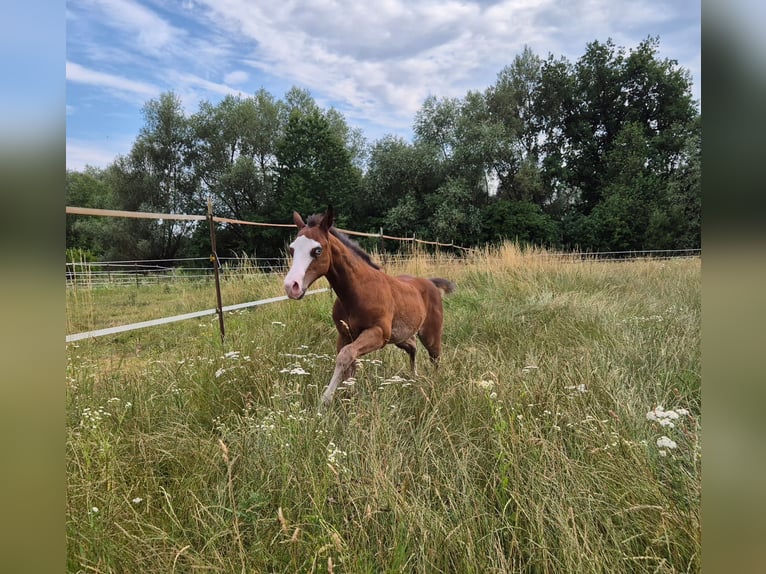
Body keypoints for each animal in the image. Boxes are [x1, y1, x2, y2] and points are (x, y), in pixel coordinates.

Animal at [283, 207, 456, 406]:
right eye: (292, 249)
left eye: (317, 250)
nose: (291, 286)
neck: (358, 291)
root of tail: (431, 283)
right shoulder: (345, 334)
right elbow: (348, 363)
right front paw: (347, 398)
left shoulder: (378, 333)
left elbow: (345, 356)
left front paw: (326, 399)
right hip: (400, 337)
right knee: (413, 347)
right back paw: (414, 378)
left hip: (429, 334)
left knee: (435, 357)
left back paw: (433, 385)